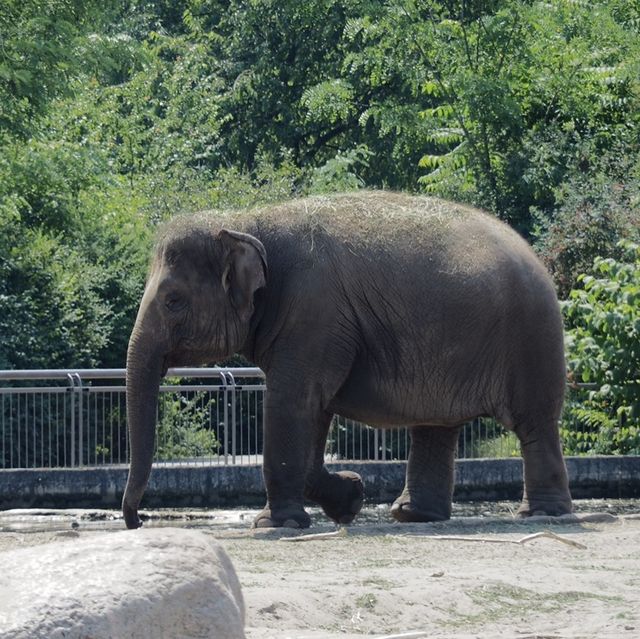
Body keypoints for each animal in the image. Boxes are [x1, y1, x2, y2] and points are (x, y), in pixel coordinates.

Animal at [122, 190, 572, 528]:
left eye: (173, 301)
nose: (138, 521)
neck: (246, 221)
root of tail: (535, 255)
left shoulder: (313, 312)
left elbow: (291, 402)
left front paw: (275, 525)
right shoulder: (317, 329)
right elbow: (314, 409)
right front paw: (352, 498)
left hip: (531, 337)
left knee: (533, 423)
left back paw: (541, 514)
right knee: (436, 424)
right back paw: (412, 515)